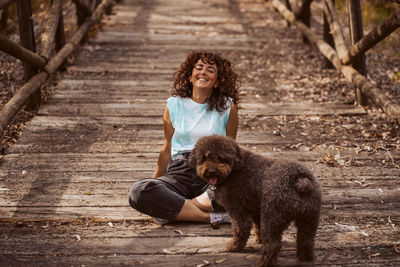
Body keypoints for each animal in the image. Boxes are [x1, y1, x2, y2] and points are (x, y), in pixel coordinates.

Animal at [191, 137, 322, 266]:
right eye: (204, 157)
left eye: (221, 158)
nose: (212, 172)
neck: (234, 168)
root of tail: (300, 181)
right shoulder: (255, 209)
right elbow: (257, 226)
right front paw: (259, 240)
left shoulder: (237, 210)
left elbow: (240, 230)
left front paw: (234, 247)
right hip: (309, 219)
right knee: (306, 240)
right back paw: (305, 257)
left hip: (272, 217)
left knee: (273, 245)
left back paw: (263, 263)